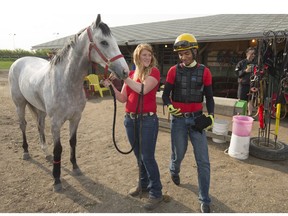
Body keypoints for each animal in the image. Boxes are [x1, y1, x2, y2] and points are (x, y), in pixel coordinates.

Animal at [8, 14, 129, 192]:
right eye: (104, 42)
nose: (125, 71)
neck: (66, 81)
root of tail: (18, 61)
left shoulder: (76, 118)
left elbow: (73, 142)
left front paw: (75, 168)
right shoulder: (56, 123)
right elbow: (58, 149)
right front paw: (57, 180)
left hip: (40, 110)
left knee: (39, 126)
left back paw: (45, 152)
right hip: (20, 104)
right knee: (23, 125)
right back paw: (26, 152)